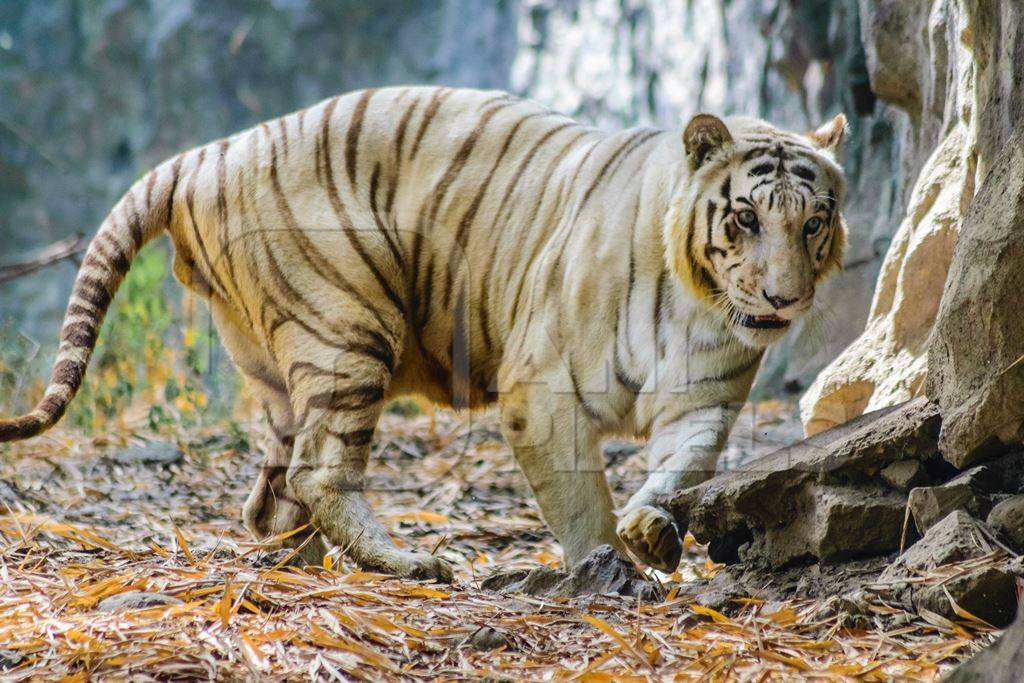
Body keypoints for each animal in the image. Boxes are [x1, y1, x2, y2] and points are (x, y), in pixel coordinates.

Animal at [0, 88, 847, 581]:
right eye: (746, 218)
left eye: (813, 223)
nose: (783, 299)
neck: (700, 305)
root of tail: (206, 153)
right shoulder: (542, 390)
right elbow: (581, 500)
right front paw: (609, 569)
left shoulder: (704, 399)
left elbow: (683, 464)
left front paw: (652, 530)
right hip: (347, 326)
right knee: (318, 472)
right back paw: (412, 561)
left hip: (277, 366)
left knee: (270, 496)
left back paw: (306, 566)